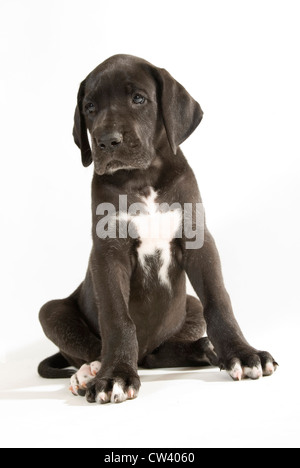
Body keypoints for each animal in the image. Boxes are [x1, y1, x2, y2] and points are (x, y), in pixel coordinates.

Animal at [38, 54, 278, 404]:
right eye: (90, 107)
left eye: (139, 99)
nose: (106, 141)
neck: (142, 177)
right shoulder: (108, 252)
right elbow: (117, 317)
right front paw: (114, 376)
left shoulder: (198, 240)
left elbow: (219, 301)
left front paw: (243, 353)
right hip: (51, 311)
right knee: (92, 347)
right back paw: (89, 372)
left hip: (188, 308)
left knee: (158, 354)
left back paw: (204, 349)